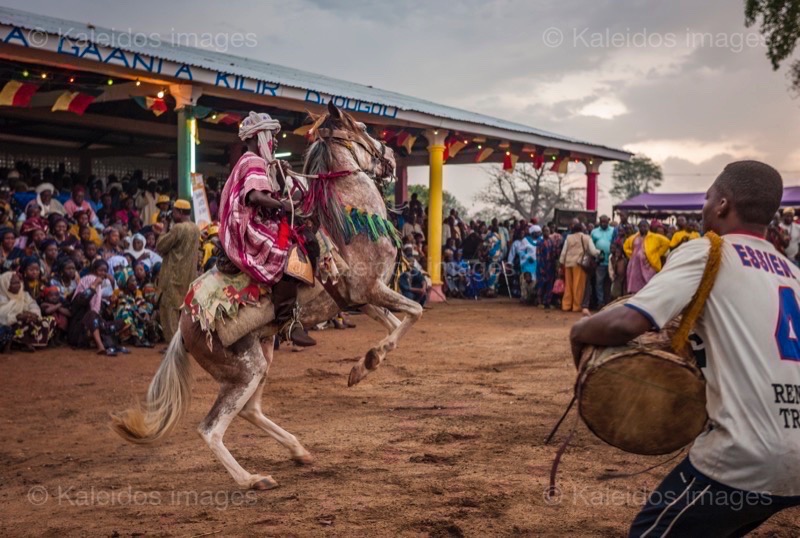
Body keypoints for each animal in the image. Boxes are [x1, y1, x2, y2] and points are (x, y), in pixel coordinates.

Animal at [114, 102, 424, 488]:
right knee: (211, 428)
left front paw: (364, 365)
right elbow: (415, 311)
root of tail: (186, 327)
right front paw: (368, 362)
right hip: (246, 369)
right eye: (365, 128)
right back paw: (252, 479)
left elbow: (397, 323)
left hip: (261, 356)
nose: (392, 159)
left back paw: (298, 450)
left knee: (249, 410)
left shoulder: (360, 298)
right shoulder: (370, 289)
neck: (349, 224)